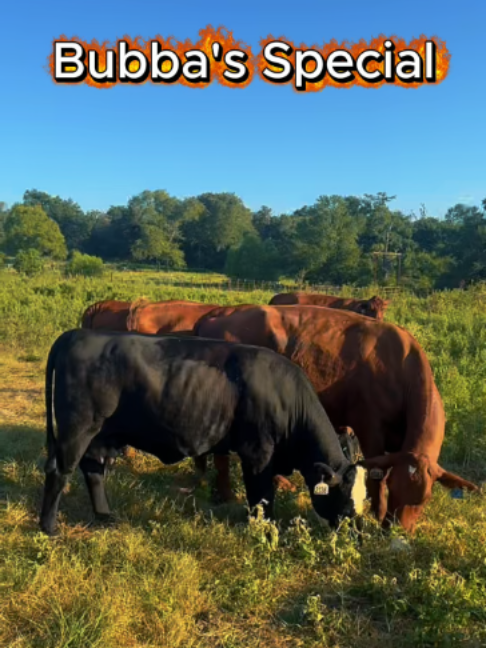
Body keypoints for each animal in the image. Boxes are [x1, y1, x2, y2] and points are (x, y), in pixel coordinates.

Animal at [39, 329, 368, 536]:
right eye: (345, 503)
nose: (357, 535)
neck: (286, 397)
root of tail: (76, 334)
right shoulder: (257, 454)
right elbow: (261, 498)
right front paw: (265, 533)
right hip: (77, 429)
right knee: (59, 471)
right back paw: (49, 528)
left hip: (101, 435)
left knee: (93, 471)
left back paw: (105, 516)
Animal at [194, 304, 479, 533]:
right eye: (395, 489)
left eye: (423, 500)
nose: (395, 530)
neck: (402, 371)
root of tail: (217, 314)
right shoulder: (369, 429)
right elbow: (376, 476)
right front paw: (377, 513)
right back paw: (227, 495)